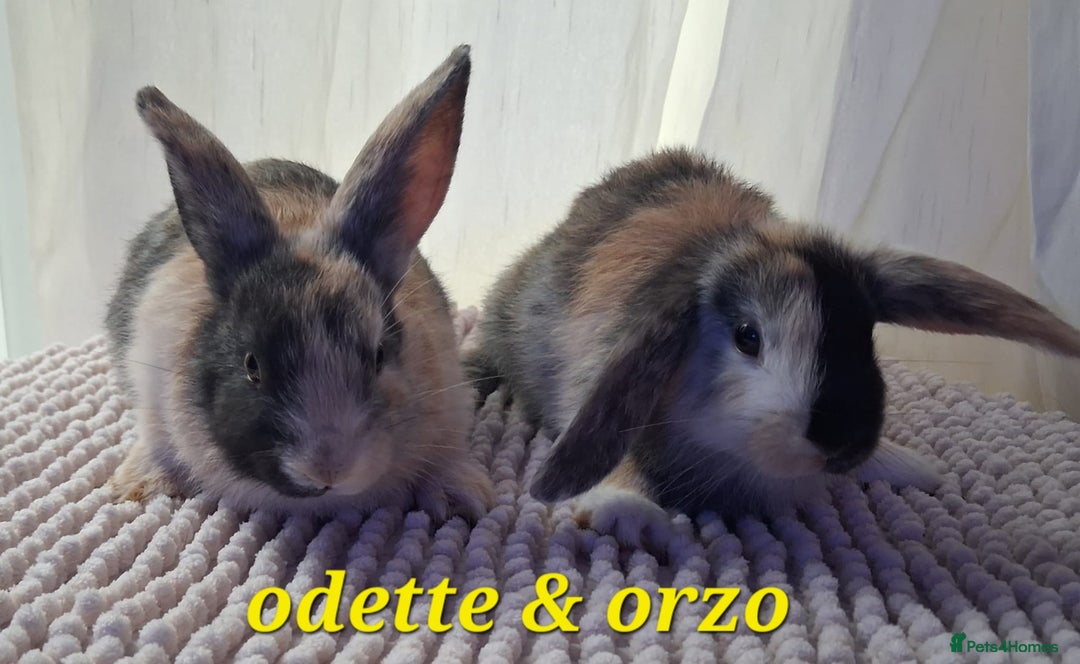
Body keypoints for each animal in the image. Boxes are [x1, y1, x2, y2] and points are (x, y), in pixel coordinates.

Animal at [466, 148, 1080, 545]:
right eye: (748, 337)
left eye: (867, 333)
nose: (842, 444)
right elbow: (621, 455)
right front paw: (625, 511)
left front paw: (912, 467)